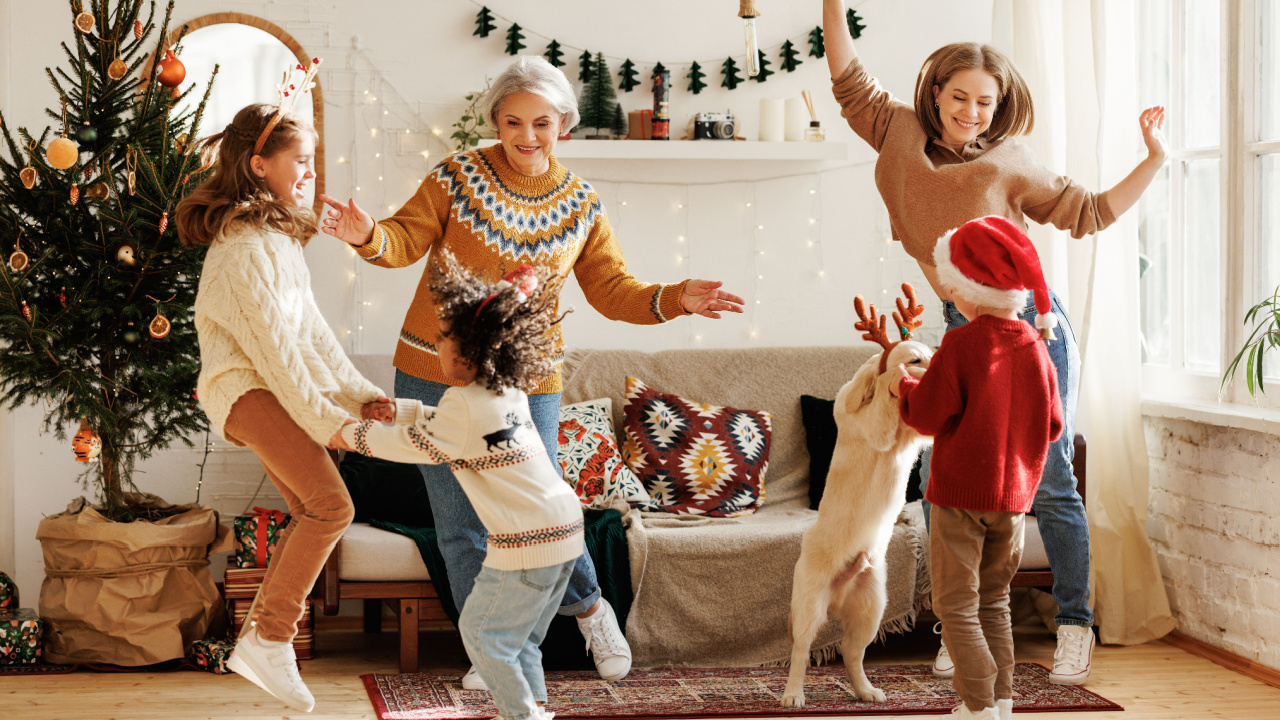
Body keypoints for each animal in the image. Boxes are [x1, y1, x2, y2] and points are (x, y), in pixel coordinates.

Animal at [778, 288, 931, 702]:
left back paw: (866, 691)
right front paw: (892, 377)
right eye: (916, 359)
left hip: (871, 607)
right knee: (801, 651)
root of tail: (837, 596)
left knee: (851, 651)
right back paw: (793, 694)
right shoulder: (873, 426)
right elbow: (883, 396)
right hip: (809, 605)